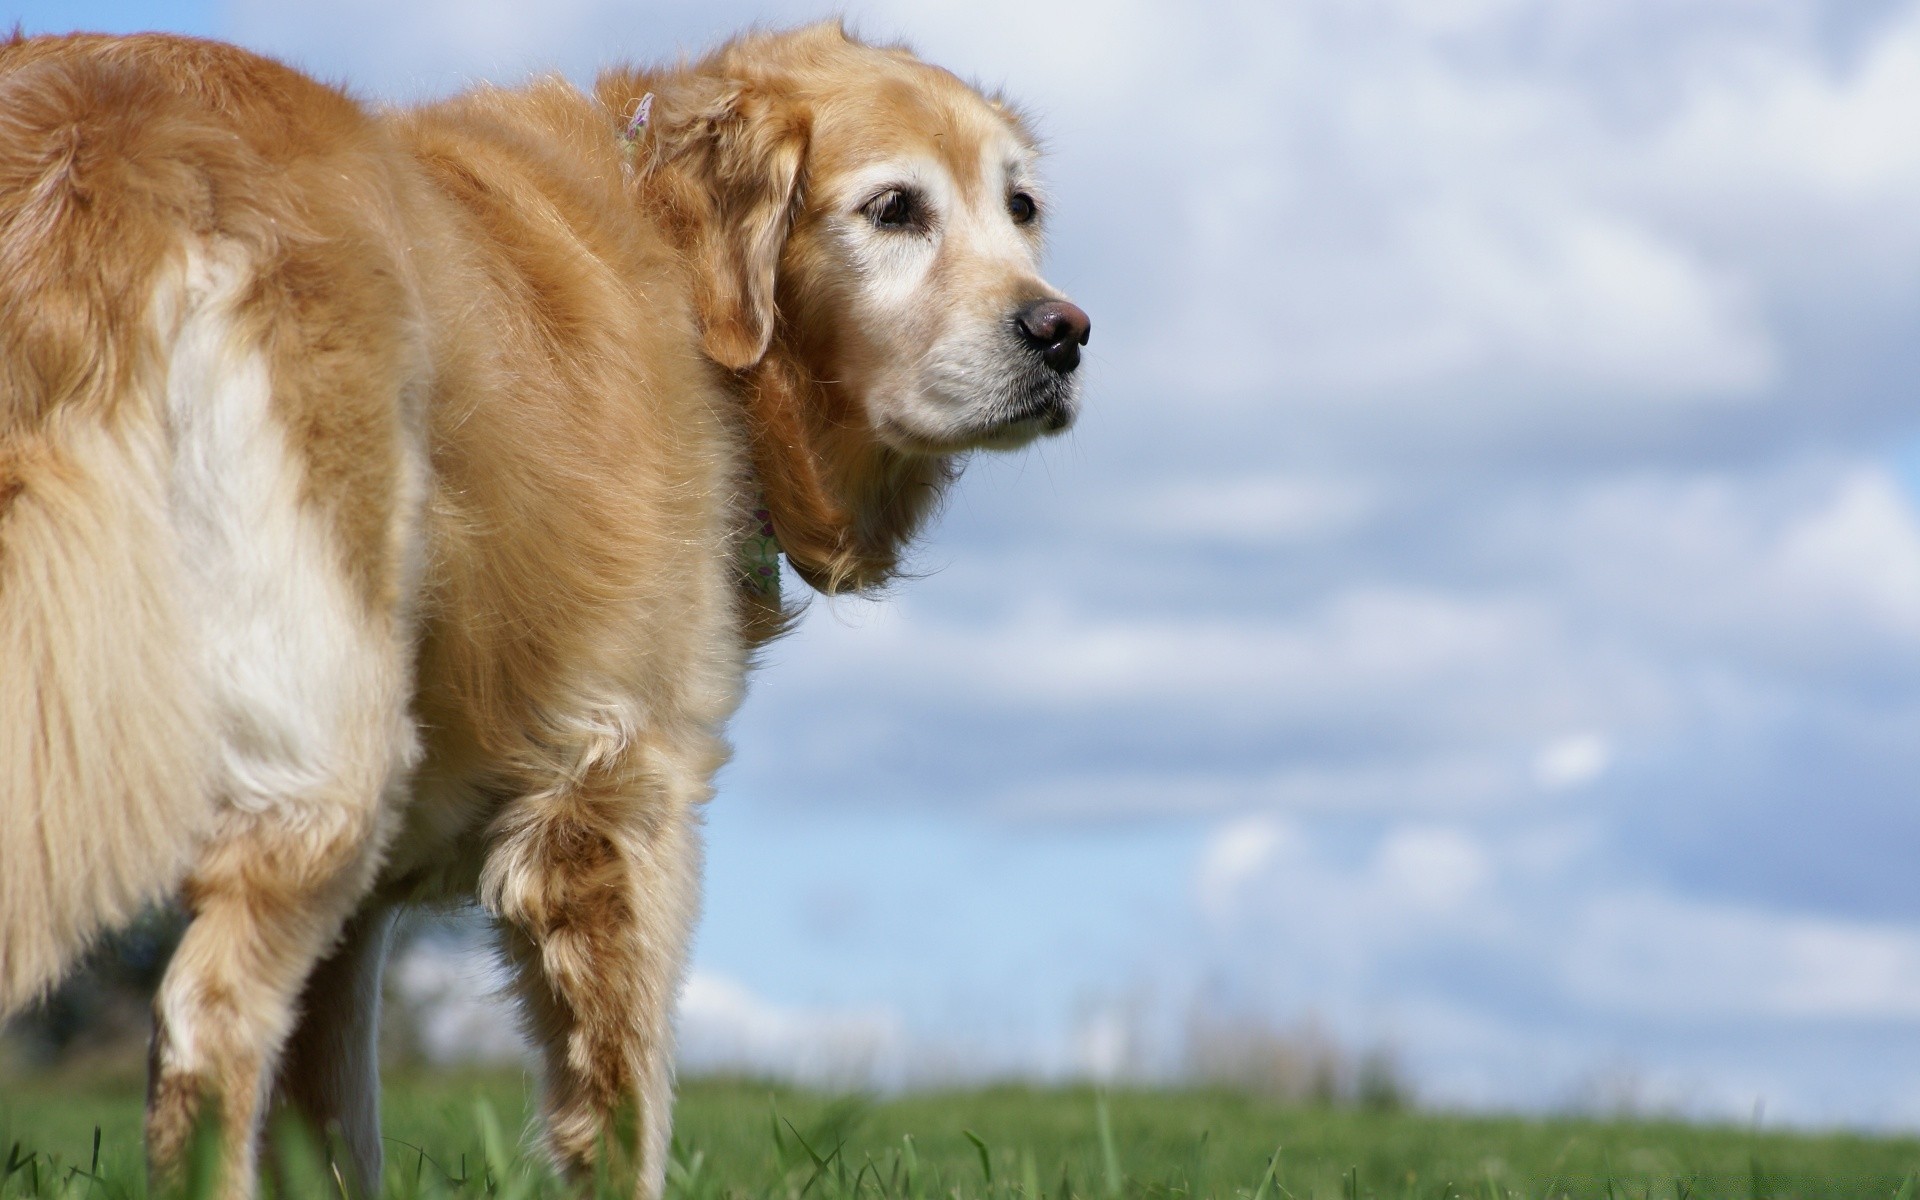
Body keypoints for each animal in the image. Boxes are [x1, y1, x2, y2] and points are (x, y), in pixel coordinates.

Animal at [0, 23, 1090, 1190]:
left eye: (1021, 206)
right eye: (894, 208)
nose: (1063, 332)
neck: (677, 266)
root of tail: (104, 140)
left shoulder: (363, 934)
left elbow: (335, 1139)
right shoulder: (618, 801)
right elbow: (625, 1126)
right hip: (327, 772)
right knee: (206, 1026)